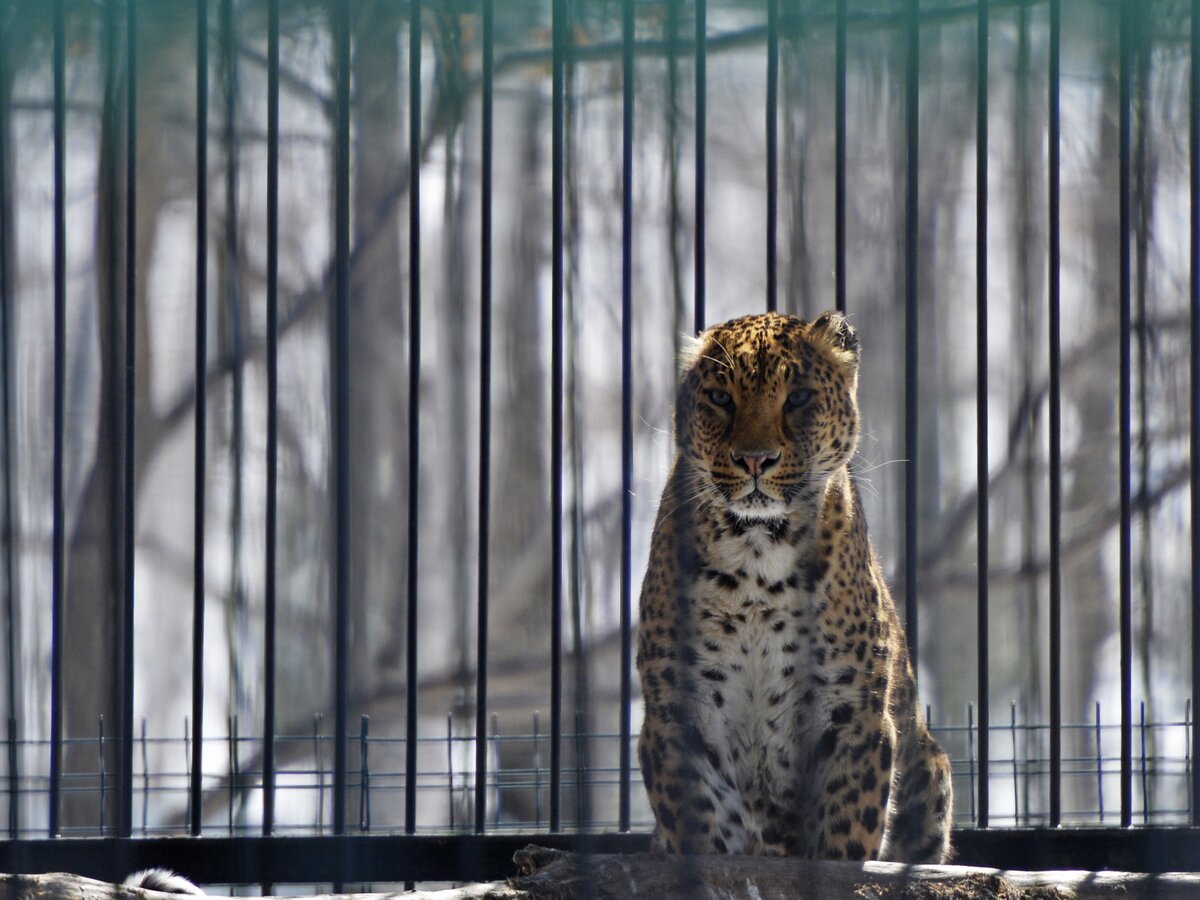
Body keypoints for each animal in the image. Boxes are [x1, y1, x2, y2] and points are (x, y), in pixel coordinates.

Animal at [633, 312, 950, 868]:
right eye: (721, 397)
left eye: (798, 398)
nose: (755, 460)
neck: (757, 553)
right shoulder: (679, 713)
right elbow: (705, 830)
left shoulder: (852, 712)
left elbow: (845, 836)